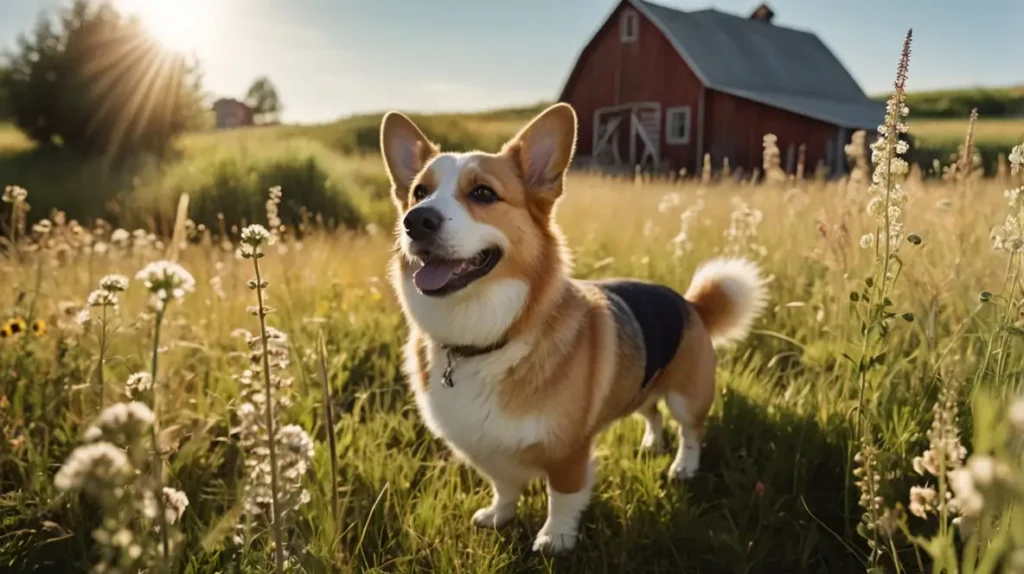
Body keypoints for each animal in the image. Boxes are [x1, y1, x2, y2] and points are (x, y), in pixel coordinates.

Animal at [380, 103, 765, 556]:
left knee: (691, 431)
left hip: (687, 396)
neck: (487, 338)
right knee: (651, 411)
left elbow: (562, 497)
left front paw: (555, 539)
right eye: (419, 192)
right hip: (641, 384)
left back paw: (683, 467)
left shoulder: (568, 451)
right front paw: (499, 517)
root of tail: (691, 303)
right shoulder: (488, 448)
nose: (415, 221)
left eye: (483, 194)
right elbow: (505, 487)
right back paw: (651, 443)